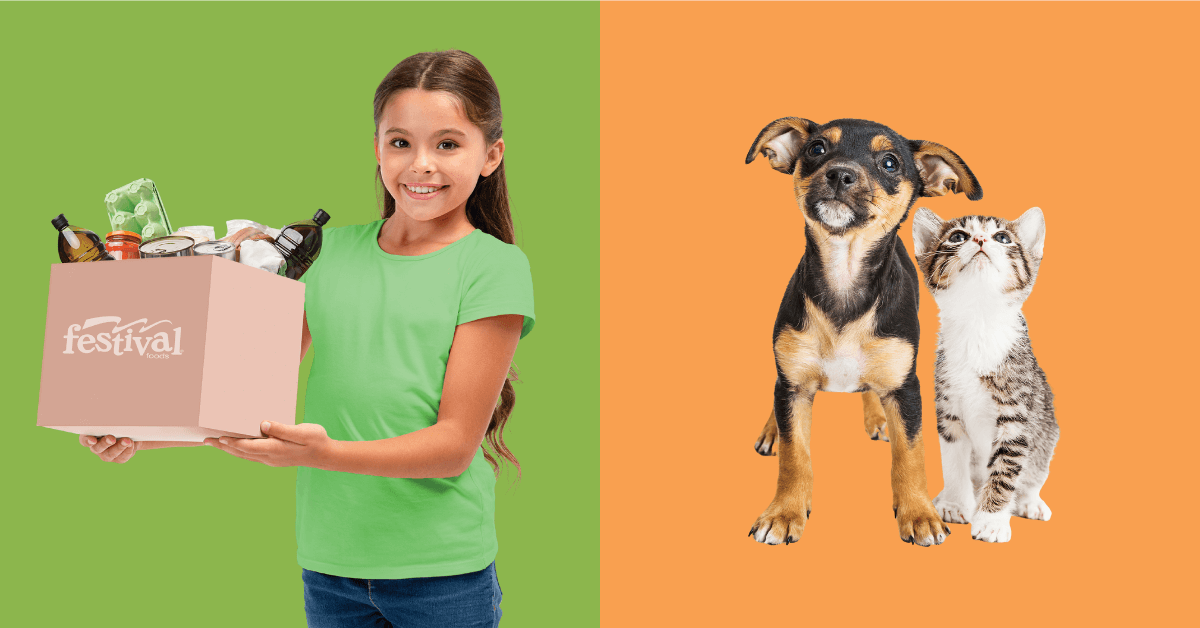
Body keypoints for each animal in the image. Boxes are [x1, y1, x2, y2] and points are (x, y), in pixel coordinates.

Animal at [748, 116, 984, 545]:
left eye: (890, 163)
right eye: (817, 149)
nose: (840, 174)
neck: (844, 277)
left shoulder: (906, 388)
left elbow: (911, 454)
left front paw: (919, 514)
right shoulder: (793, 384)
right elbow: (795, 455)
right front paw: (784, 512)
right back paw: (773, 431)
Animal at [907, 208, 1060, 542]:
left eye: (1002, 238)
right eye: (957, 236)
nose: (978, 239)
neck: (978, 322)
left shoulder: (1018, 416)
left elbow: (1005, 470)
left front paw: (991, 520)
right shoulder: (948, 408)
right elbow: (953, 461)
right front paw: (954, 504)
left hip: (1048, 430)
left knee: (1034, 473)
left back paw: (1029, 502)